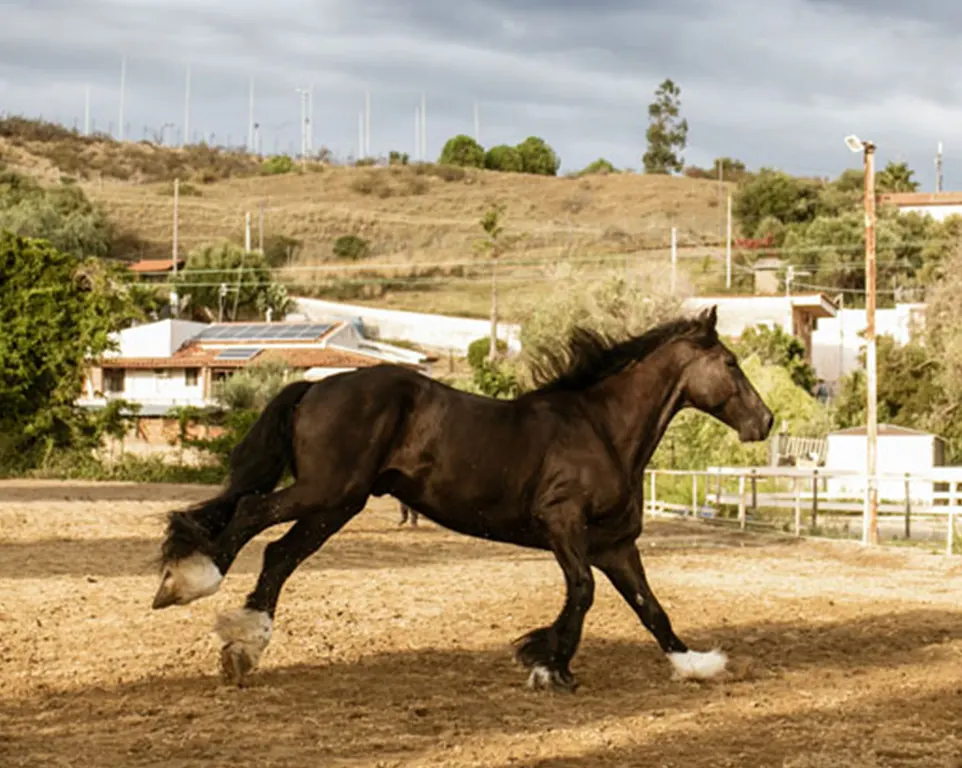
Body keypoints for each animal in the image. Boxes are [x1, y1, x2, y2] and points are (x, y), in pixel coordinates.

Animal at [151, 306, 773, 691]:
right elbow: (583, 592)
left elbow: (650, 607)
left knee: (278, 554)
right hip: (326, 491)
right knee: (252, 516)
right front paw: (548, 664)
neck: (602, 429)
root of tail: (315, 387)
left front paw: (697, 663)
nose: (764, 422)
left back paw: (242, 648)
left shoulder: (614, 545)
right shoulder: (563, 524)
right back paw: (192, 582)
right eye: (731, 363)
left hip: (337, 504)